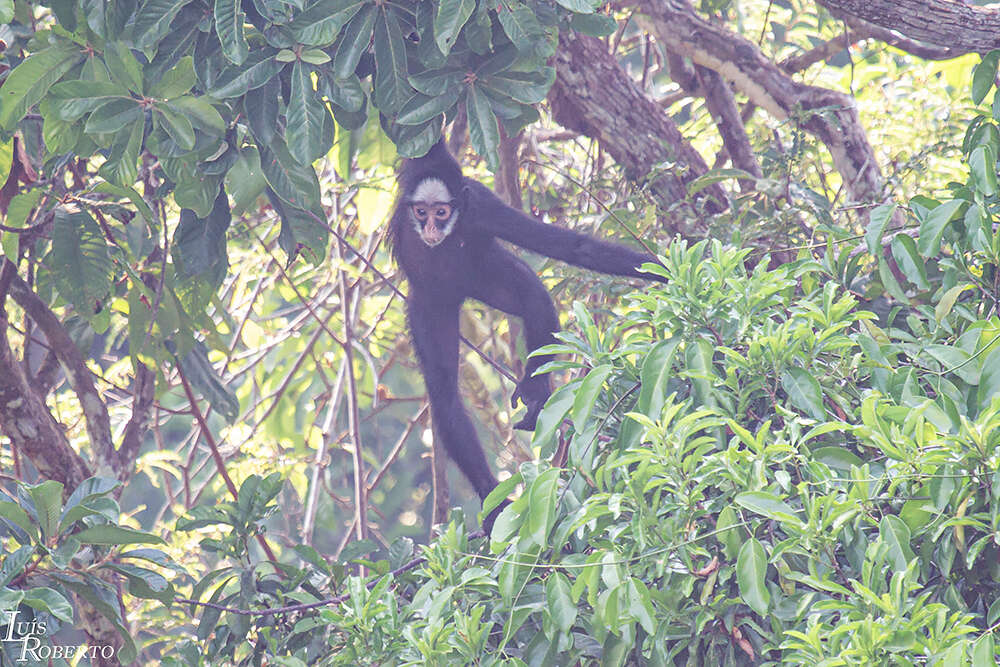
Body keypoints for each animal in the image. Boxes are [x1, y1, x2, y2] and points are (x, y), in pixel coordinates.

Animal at [390, 141, 664, 532]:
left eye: (440, 213)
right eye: (421, 212)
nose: (429, 228)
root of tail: (459, 293)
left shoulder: (482, 208)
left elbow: (573, 248)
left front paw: (665, 272)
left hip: (481, 271)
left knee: (533, 296)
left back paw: (536, 395)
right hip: (432, 305)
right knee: (443, 391)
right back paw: (491, 497)